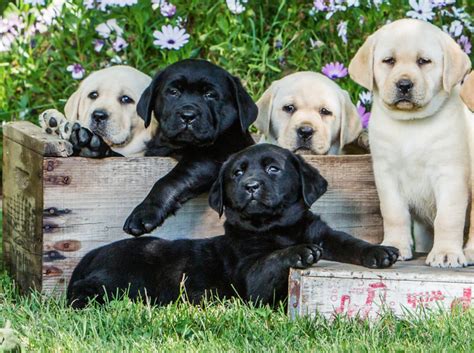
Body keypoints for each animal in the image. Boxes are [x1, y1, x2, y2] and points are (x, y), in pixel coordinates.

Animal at [66, 144, 398, 308]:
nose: (250, 186)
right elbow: (269, 260)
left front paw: (379, 252)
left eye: (273, 169)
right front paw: (300, 252)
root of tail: (88, 257)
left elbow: (349, 241)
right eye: (237, 173)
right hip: (127, 276)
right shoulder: (250, 278)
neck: (278, 228)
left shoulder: (323, 234)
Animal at [122, 59, 256, 236]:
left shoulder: (211, 158)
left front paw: (145, 211)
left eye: (210, 94)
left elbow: (169, 180)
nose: (187, 116)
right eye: (173, 92)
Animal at [348, 18, 470, 266]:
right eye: (389, 61)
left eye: (423, 61)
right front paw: (395, 245)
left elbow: (448, 217)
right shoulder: (386, 175)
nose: (404, 84)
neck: (411, 125)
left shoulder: (450, 174)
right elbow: (394, 213)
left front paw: (446, 253)